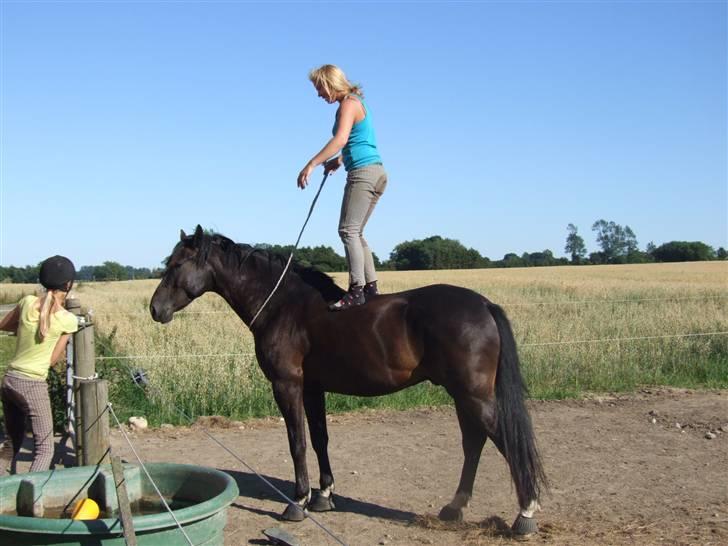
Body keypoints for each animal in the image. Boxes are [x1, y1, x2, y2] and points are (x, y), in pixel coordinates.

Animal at [148, 227, 544, 532]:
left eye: (177, 264)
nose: (155, 309)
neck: (282, 305)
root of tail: (484, 305)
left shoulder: (287, 385)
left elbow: (297, 443)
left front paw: (298, 501)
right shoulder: (312, 388)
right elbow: (320, 439)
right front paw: (324, 495)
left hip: (473, 395)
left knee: (501, 439)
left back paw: (525, 514)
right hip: (463, 395)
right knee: (474, 443)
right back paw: (454, 508)